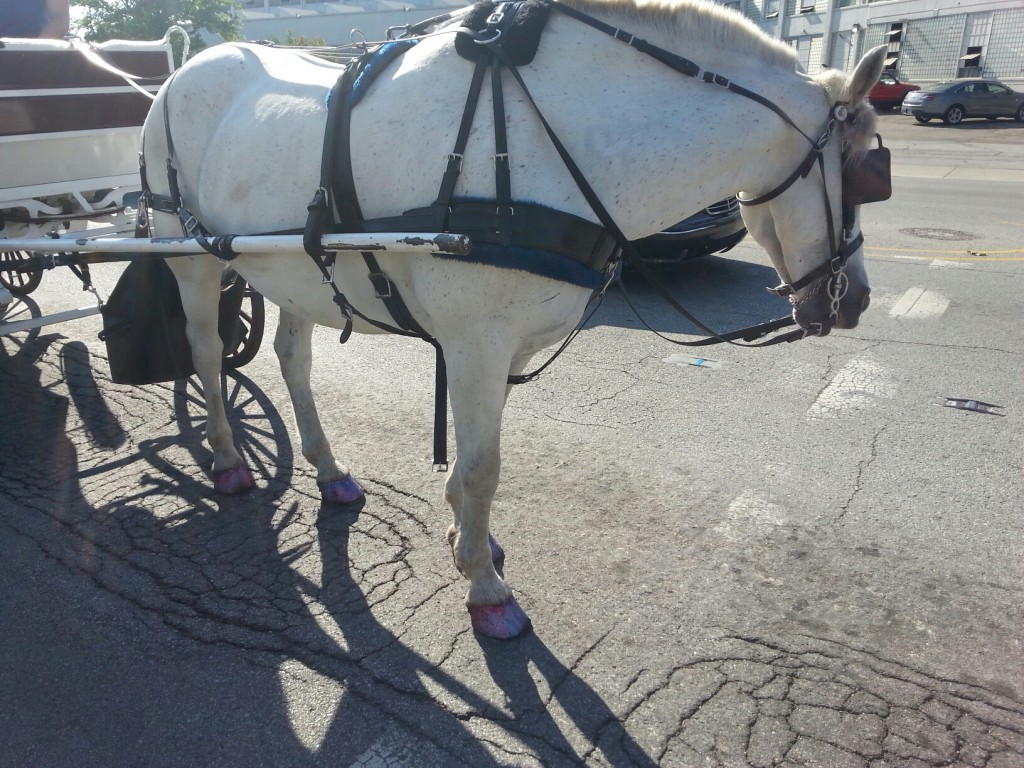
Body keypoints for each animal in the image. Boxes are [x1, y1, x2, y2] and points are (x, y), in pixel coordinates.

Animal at [140, 0, 884, 638]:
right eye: (864, 171)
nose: (856, 299)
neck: (553, 135)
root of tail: (183, 67)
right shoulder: (476, 343)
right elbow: (482, 467)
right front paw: (483, 587)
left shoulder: (508, 346)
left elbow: (482, 460)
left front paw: (468, 535)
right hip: (190, 256)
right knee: (205, 351)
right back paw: (227, 457)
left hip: (293, 272)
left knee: (294, 360)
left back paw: (327, 470)